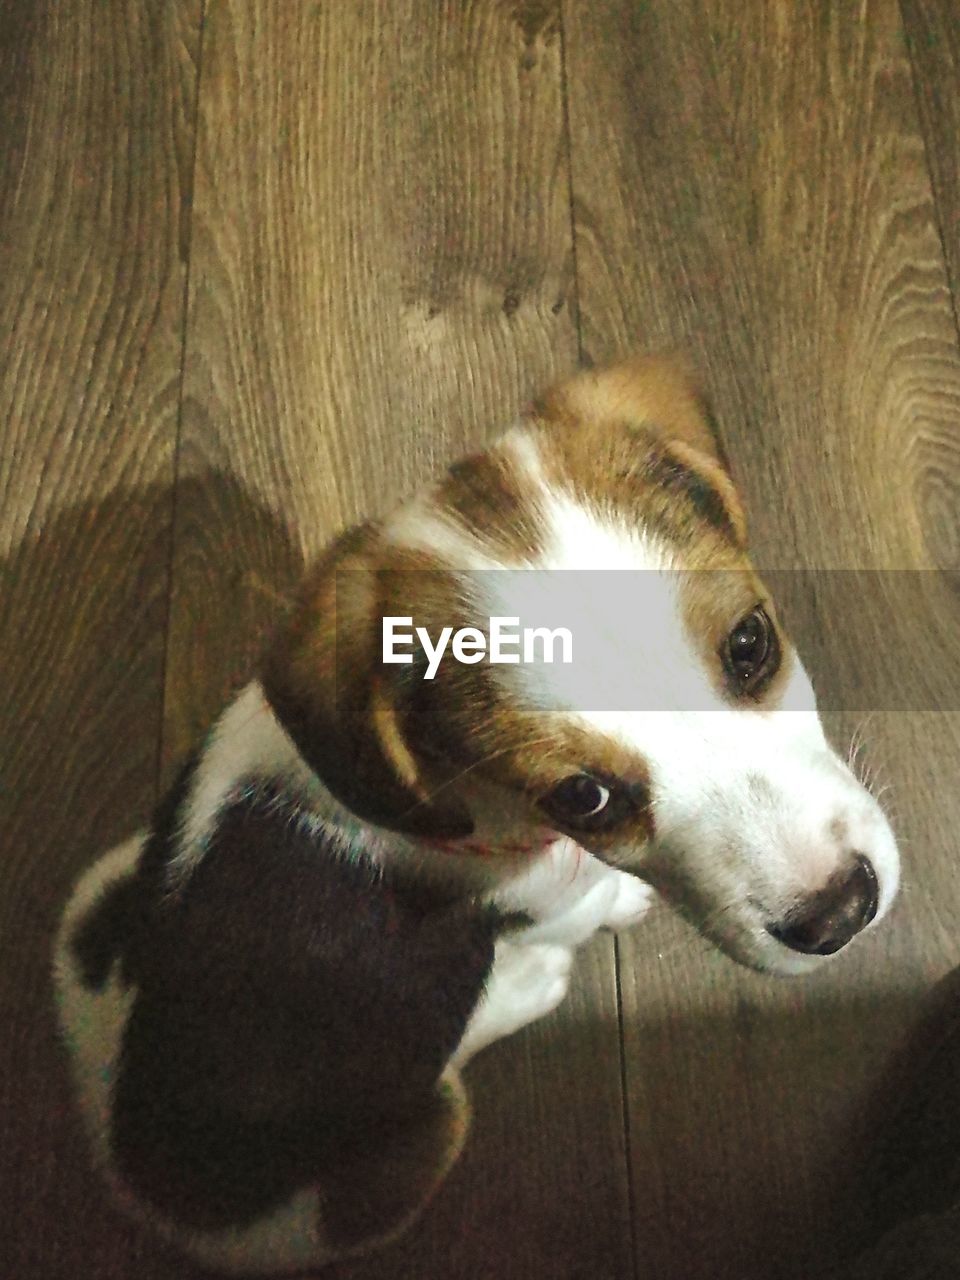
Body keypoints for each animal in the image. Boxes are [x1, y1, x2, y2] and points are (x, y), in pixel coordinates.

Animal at [56, 355, 901, 1274]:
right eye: (582, 797)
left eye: (750, 644)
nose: (841, 914)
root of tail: (136, 1186)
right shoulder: (548, 892)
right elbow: (582, 902)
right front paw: (615, 904)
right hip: (416, 1144)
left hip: (94, 894)